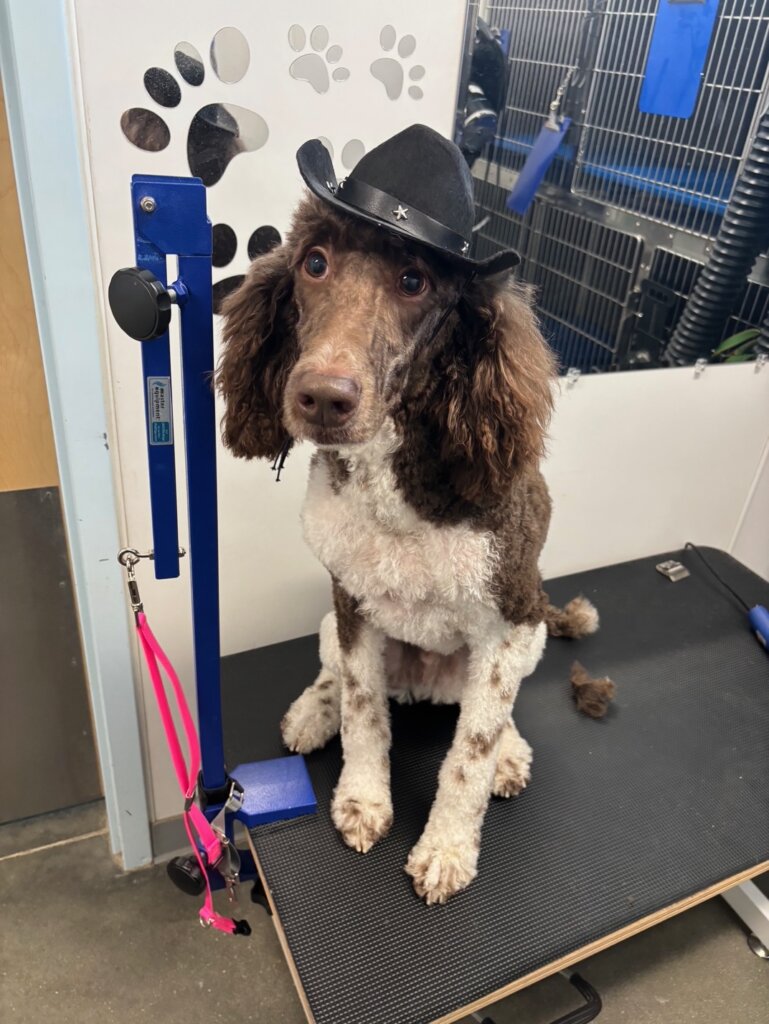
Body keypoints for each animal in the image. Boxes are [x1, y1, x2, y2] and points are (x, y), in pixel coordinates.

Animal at [217, 127, 598, 904]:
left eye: (415, 281)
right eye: (314, 262)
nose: (322, 396)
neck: (395, 482)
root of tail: (423, 683)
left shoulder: (508, 625)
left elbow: (469, 754)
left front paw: (446, 848)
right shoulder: (353, 603)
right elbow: (365, 712)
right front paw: (363, 801)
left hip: (532, 634)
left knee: (496, 714)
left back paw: (511, 750)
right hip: (330, 624)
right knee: (338, 677)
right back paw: (313, 711)